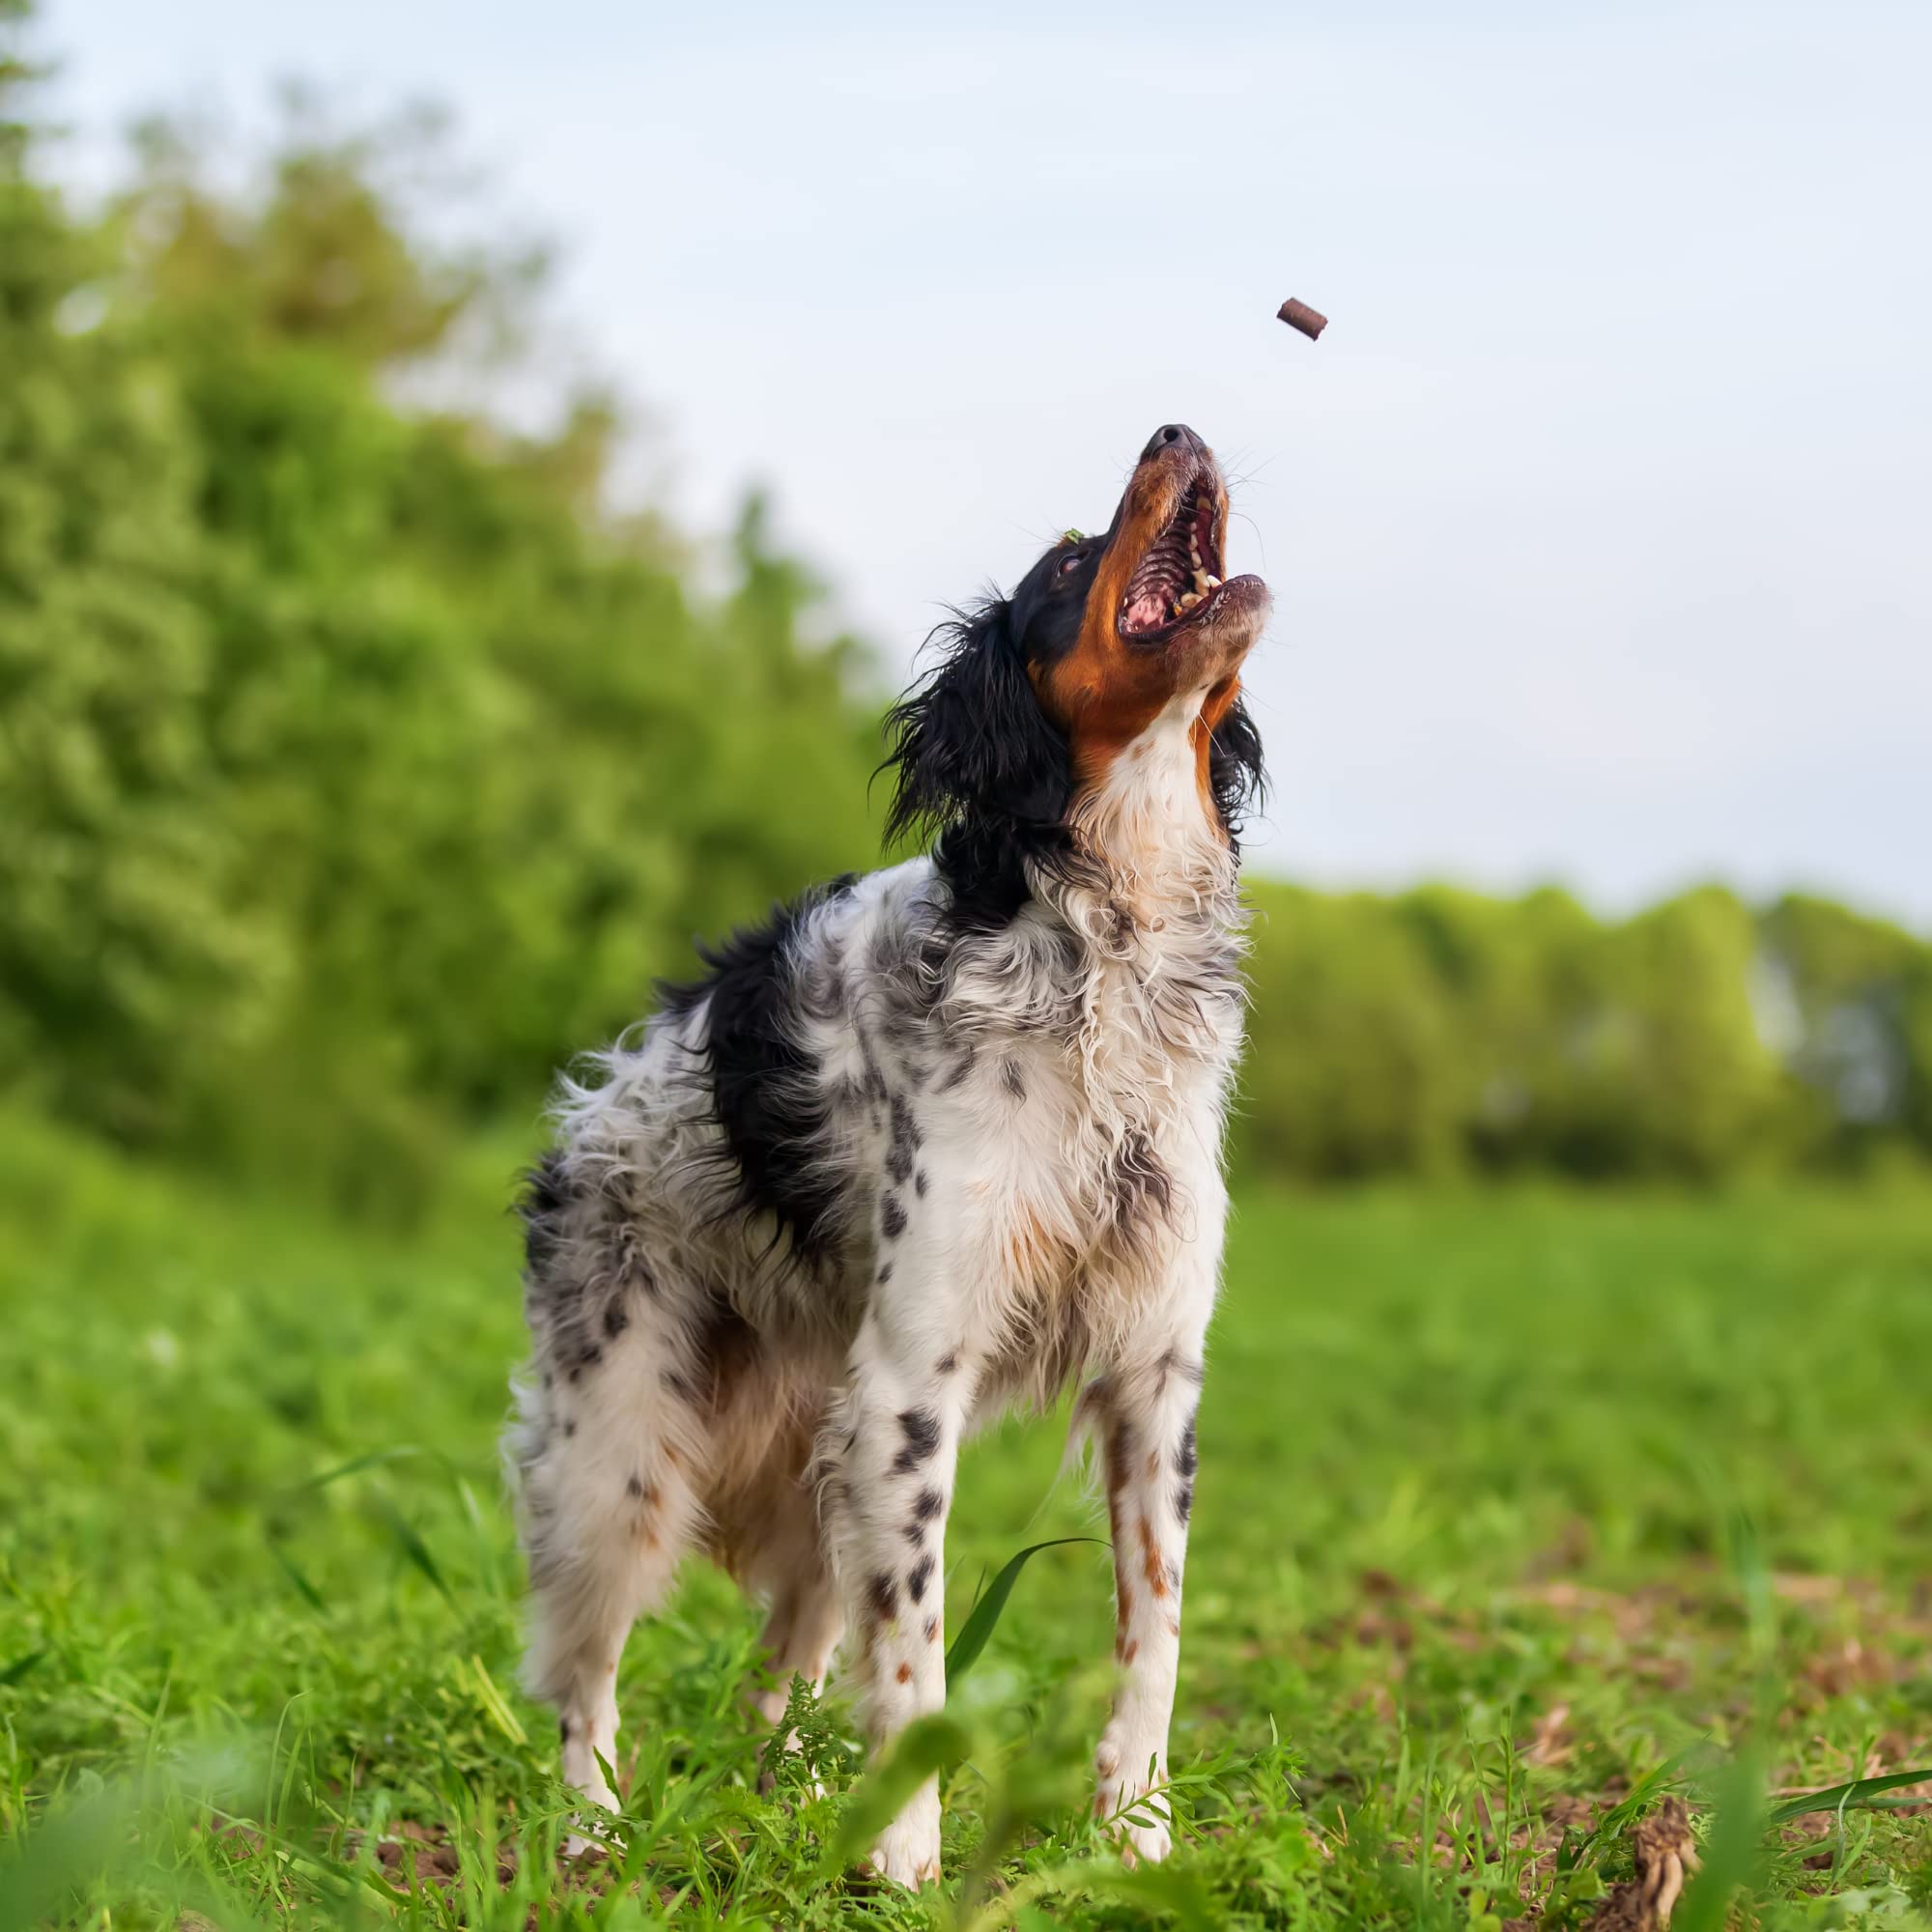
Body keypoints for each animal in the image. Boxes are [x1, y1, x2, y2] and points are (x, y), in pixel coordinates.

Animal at [510, 423, 1267, 1886]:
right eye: (1067, 565)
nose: (1178, 428)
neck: (1106, 947)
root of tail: (586, 1110)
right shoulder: (917, 1381)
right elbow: (916, 1658)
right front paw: (911, 1863)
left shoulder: (1156, 1375)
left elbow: (1153, 1629)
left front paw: (1135, 1836)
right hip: (618, 1459)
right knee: (583, 1678)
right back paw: (591, 1833)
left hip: (821, 1457)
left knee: (784, 1678)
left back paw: (799, 1806)